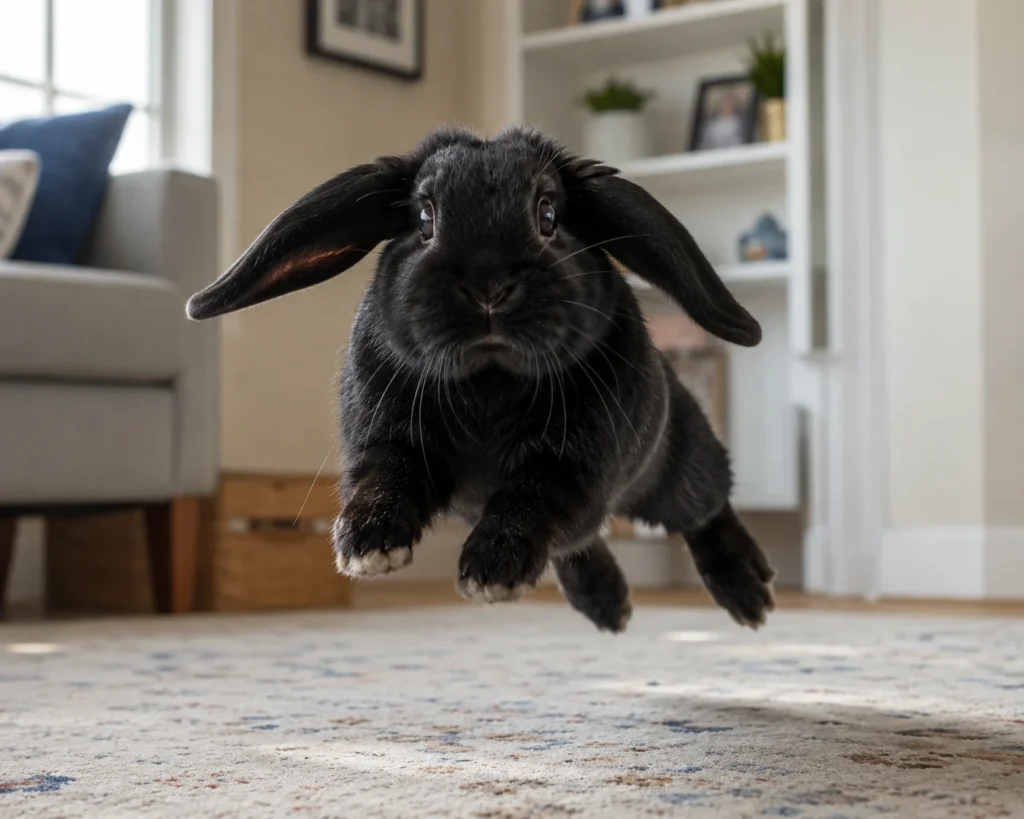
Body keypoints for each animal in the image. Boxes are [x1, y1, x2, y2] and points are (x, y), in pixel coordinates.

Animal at [186, 126, 776, 632]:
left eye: (548, 214)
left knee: (705, 507)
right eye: (424, 218)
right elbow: (385, 478)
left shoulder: (572, 467)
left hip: (668, 469)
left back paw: (750, 594)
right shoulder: (388, 441)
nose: (488, 283)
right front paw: (364, 544)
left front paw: (492, 571)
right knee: (583, 544)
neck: (488, 380)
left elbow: (530, 500)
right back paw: (606, 604)